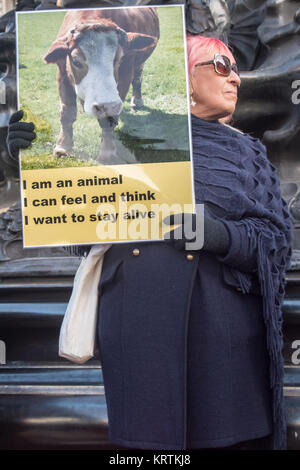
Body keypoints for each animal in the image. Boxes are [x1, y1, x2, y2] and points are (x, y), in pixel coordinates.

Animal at [44, 6, 159, 162]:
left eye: (119, 59)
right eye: (76, 61)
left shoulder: (125, 75)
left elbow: (109, 118)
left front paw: (107, 154)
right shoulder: (62, 72)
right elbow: (67, 112)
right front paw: (63, 147)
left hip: (140, 62)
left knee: (137, 77)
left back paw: (137, 100)